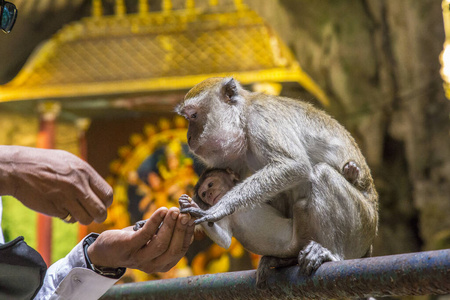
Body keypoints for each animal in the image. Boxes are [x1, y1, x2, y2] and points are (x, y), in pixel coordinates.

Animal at [177, 77, 380, 286]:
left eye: (193, 116)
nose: (189, 137)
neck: (243, 119)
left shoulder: (261, 119)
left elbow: (294, 165)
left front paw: (221, 207)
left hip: (362, 226)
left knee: (322, 174)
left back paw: (330, 254)